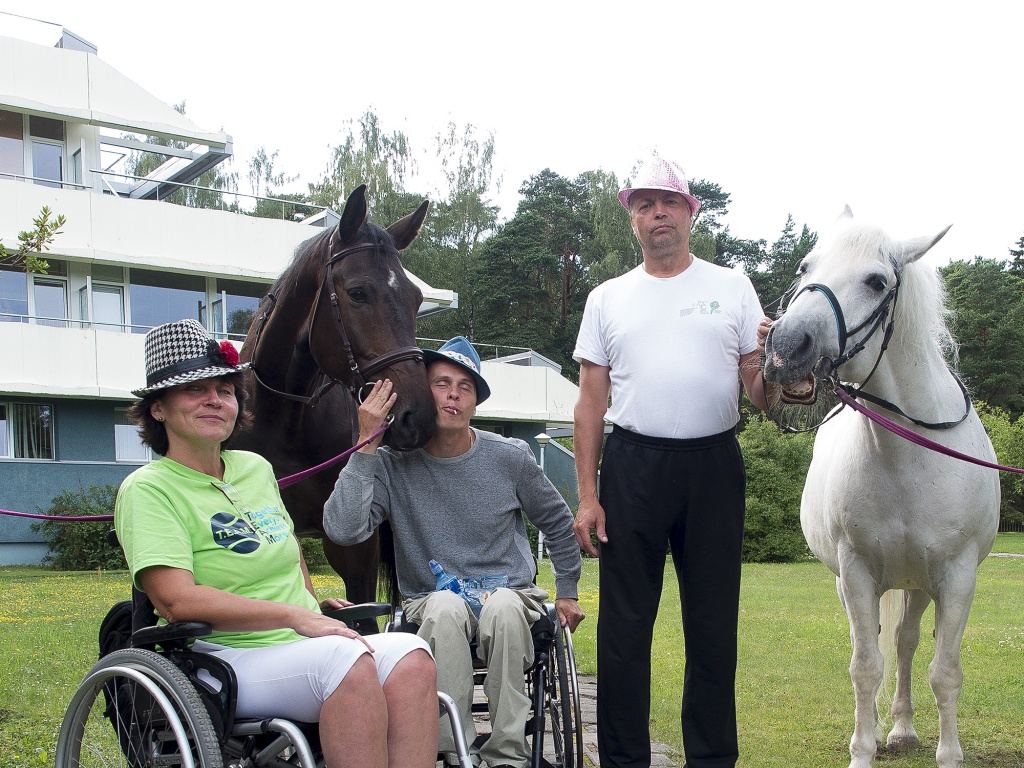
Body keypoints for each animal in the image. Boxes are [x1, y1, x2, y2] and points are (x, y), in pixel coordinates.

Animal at [762, 209, 1000, 768]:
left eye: (876, 281)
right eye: (806, 266)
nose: (785, 348)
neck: (907, 457)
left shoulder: (957, 578)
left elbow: (945, 671)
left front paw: (948, 753)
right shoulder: (857, 573)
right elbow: (865, 666)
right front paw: (861, 750)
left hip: (919, 585)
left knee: (906, 642)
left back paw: (903, 730)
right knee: (876, 644)